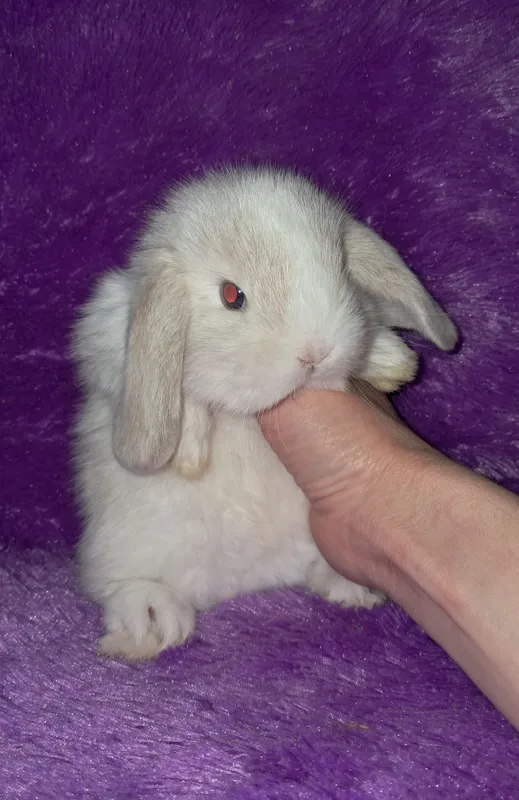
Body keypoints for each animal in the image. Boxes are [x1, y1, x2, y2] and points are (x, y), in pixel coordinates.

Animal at [72, 166, 457, 662]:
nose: (316, 351)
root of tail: (249, 582)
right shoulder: (104, 336)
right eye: (231, 295)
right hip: (122, 546)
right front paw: (190, 449)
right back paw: (151, 621)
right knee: (123, 584)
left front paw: (390, 361)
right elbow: (177, 390)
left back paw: (352, 587)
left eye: (342, 273)